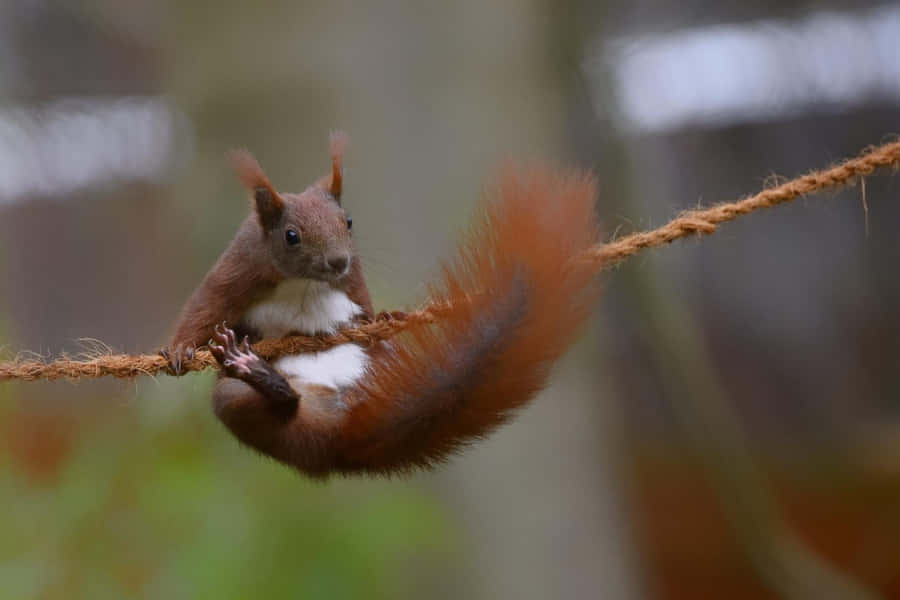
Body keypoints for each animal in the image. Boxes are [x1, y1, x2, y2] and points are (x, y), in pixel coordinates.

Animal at [162, 132, 601, 478]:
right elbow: (205, 306)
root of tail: (340, 437)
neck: (303, 283)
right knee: (277, 403)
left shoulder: (353, 281)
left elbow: (364, 308)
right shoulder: (238, 270)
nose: (338, 261)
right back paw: (255, 370)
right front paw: (180, 350)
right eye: (291, 236)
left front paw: (384, 317)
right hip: (236, 401)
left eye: (348, 221)